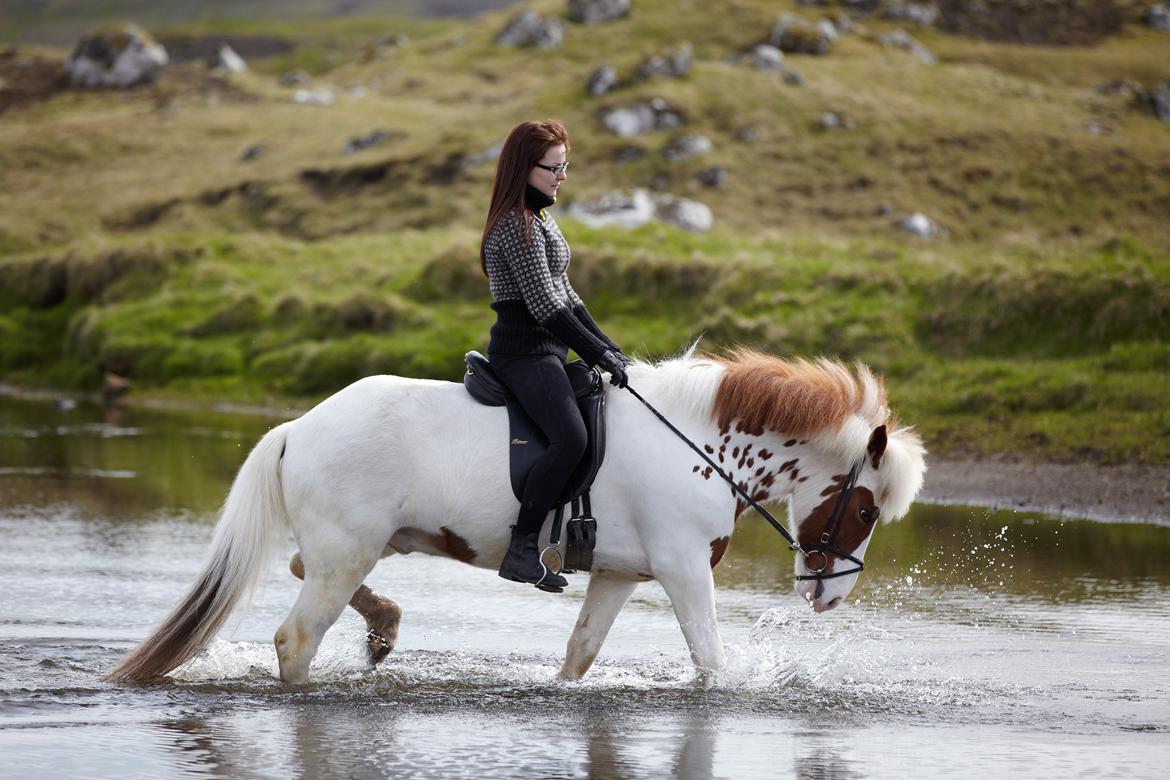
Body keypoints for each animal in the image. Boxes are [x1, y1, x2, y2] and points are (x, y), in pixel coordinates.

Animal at [107, 348, 921, 682]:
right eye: (866, 509)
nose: (828, 596)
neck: (695, 442)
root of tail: (299, 426)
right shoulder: (685, 570)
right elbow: (711, 661)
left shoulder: (621, 575)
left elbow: (581, 655)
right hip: (349, 550)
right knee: (295, 637)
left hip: (363, 544)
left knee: (306, 567)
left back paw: (385, 627)